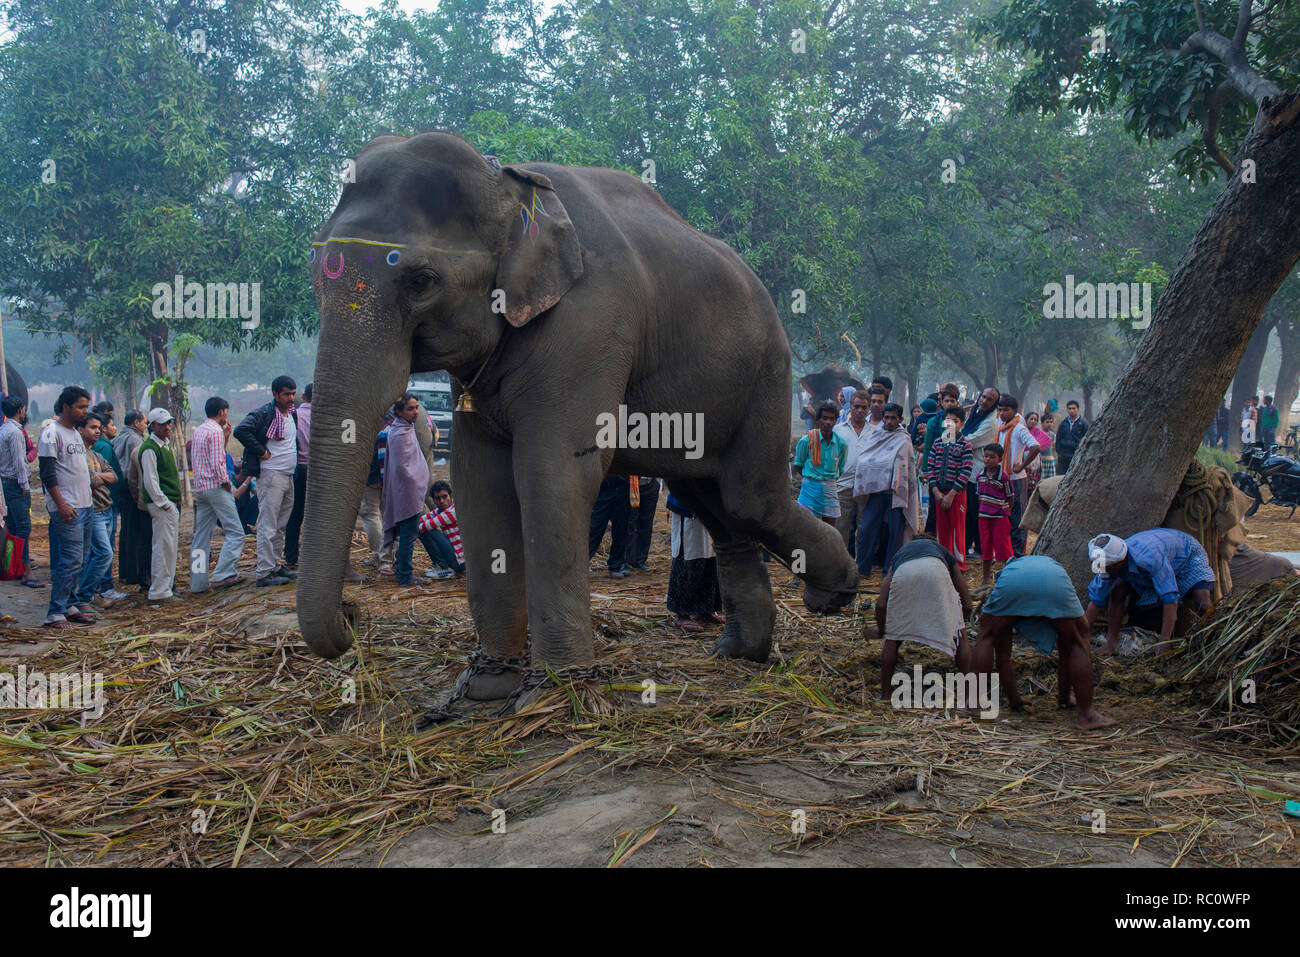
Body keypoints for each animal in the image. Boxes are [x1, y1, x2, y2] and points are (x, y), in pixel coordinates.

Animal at [299, 130, 857, 696]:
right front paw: (485, 690)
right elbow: (480, 479)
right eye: (316, 278)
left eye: (421, 281)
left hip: (767, 375)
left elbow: (552, 471)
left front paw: (556, 686)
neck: (507, 183)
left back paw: (831, 595)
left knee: (750, 499)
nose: (352, 613)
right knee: (716, 505)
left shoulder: (592, 322)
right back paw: (741, 652)